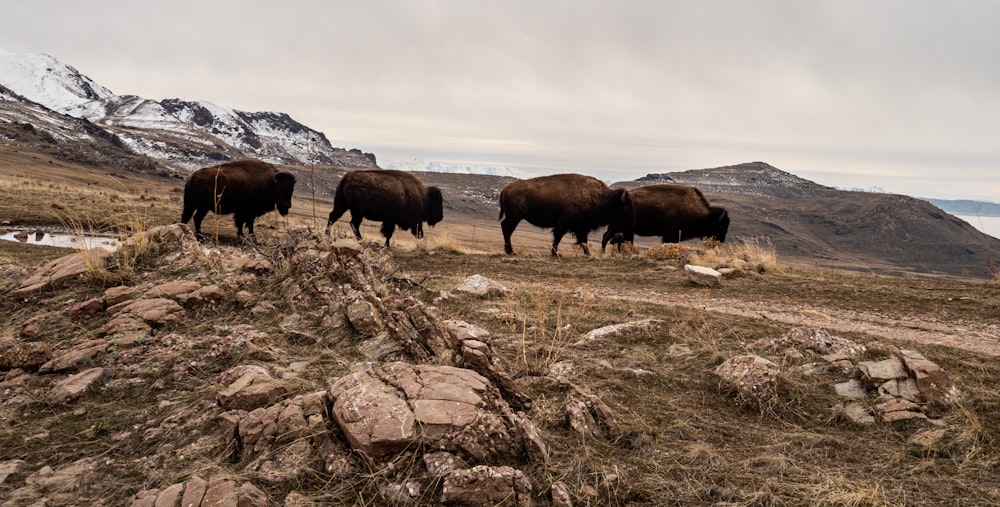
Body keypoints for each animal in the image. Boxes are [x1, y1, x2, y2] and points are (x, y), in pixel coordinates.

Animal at [500, 174, 632, 256]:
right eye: (625, 207)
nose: (630, 223)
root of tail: (505, 189)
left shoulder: (581, 227)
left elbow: (583, 241)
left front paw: (588, 254)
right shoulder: (564, 224)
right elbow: (558, 238)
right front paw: (555, 254)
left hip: (514, 217)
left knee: (505, 227)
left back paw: (509, 251)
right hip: (515, 217)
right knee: (506, 228)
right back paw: (510, 252)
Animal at [596, 184, 732, 253]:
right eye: (720, 226)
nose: (720, 242)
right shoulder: (669, 235)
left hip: (617, 227)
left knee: (606, 237)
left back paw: (603, 253)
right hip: (621, 228)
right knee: (609, 238)